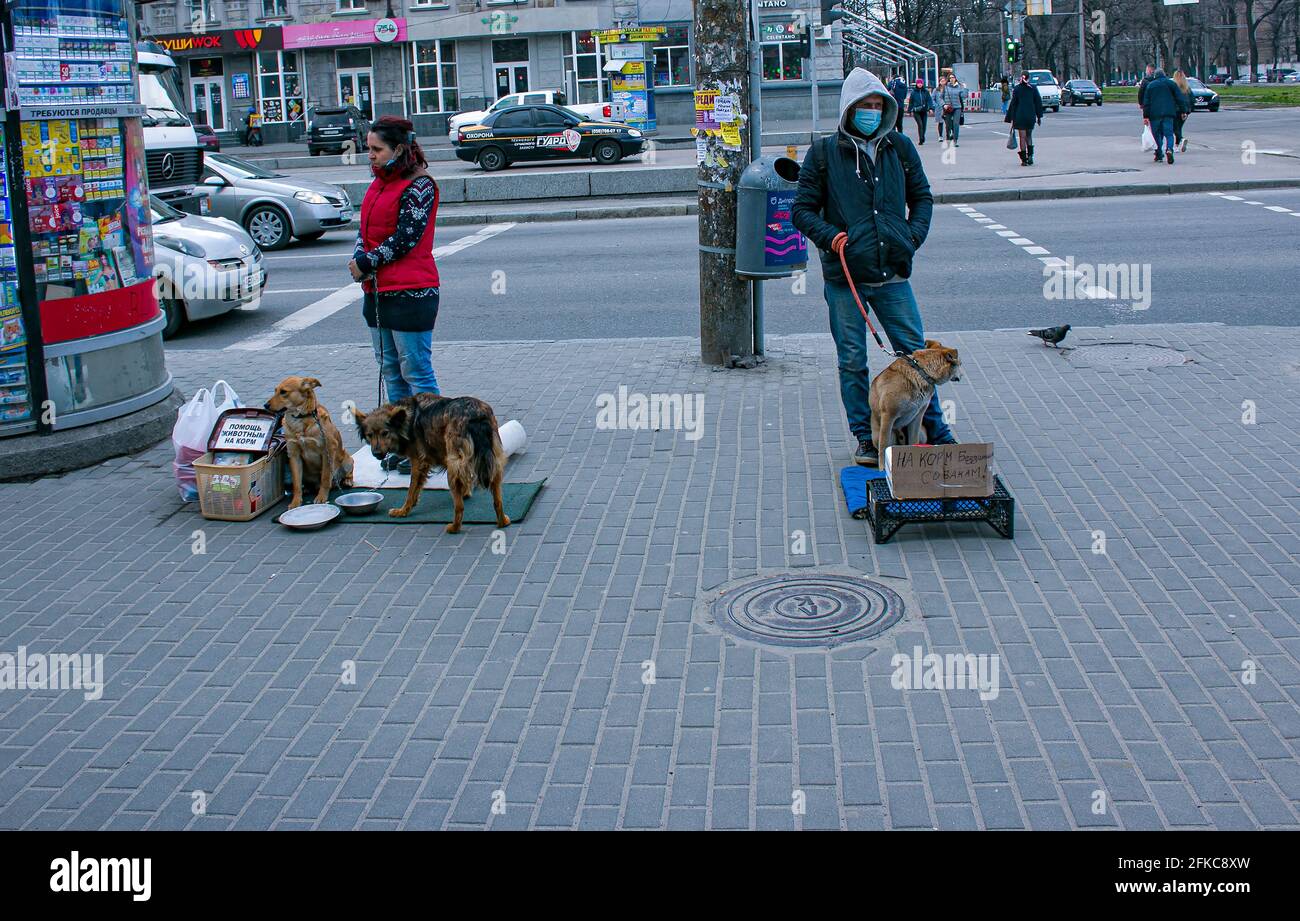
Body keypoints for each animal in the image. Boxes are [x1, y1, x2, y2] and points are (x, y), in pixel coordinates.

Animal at [263, 379, 356, 515]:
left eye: (283, 392)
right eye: (275, 390)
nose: (265, 405)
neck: (300, 419)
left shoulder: (328, 450)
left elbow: (325, 478)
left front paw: (322, 497)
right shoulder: (294, 454)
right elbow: (296, 483)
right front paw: (296, 502)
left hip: (347, 459)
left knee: (345, 474)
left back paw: (347, 481)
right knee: (306, 483)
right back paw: (307, 488)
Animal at [353, 390, 509, 533]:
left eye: (385, 433)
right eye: (369, 435)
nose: (376, 453)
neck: (406, 420)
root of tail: (476, 416)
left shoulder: (418, 461)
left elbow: (411, 489)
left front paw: (403, 511)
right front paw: (466, 492)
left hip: (453, 468)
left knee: (459, 507)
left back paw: (454, 527)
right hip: (493, 461)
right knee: (497, 501)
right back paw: (503, 522)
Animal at [868, 340, 961, 468]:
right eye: (960, 364)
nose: (961, 376)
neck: (921, 372)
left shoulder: (917, 417)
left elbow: (914, 441)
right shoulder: (888, 416)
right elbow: (883, 447)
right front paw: (882, 469)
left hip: (923, 433)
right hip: (881, 435)